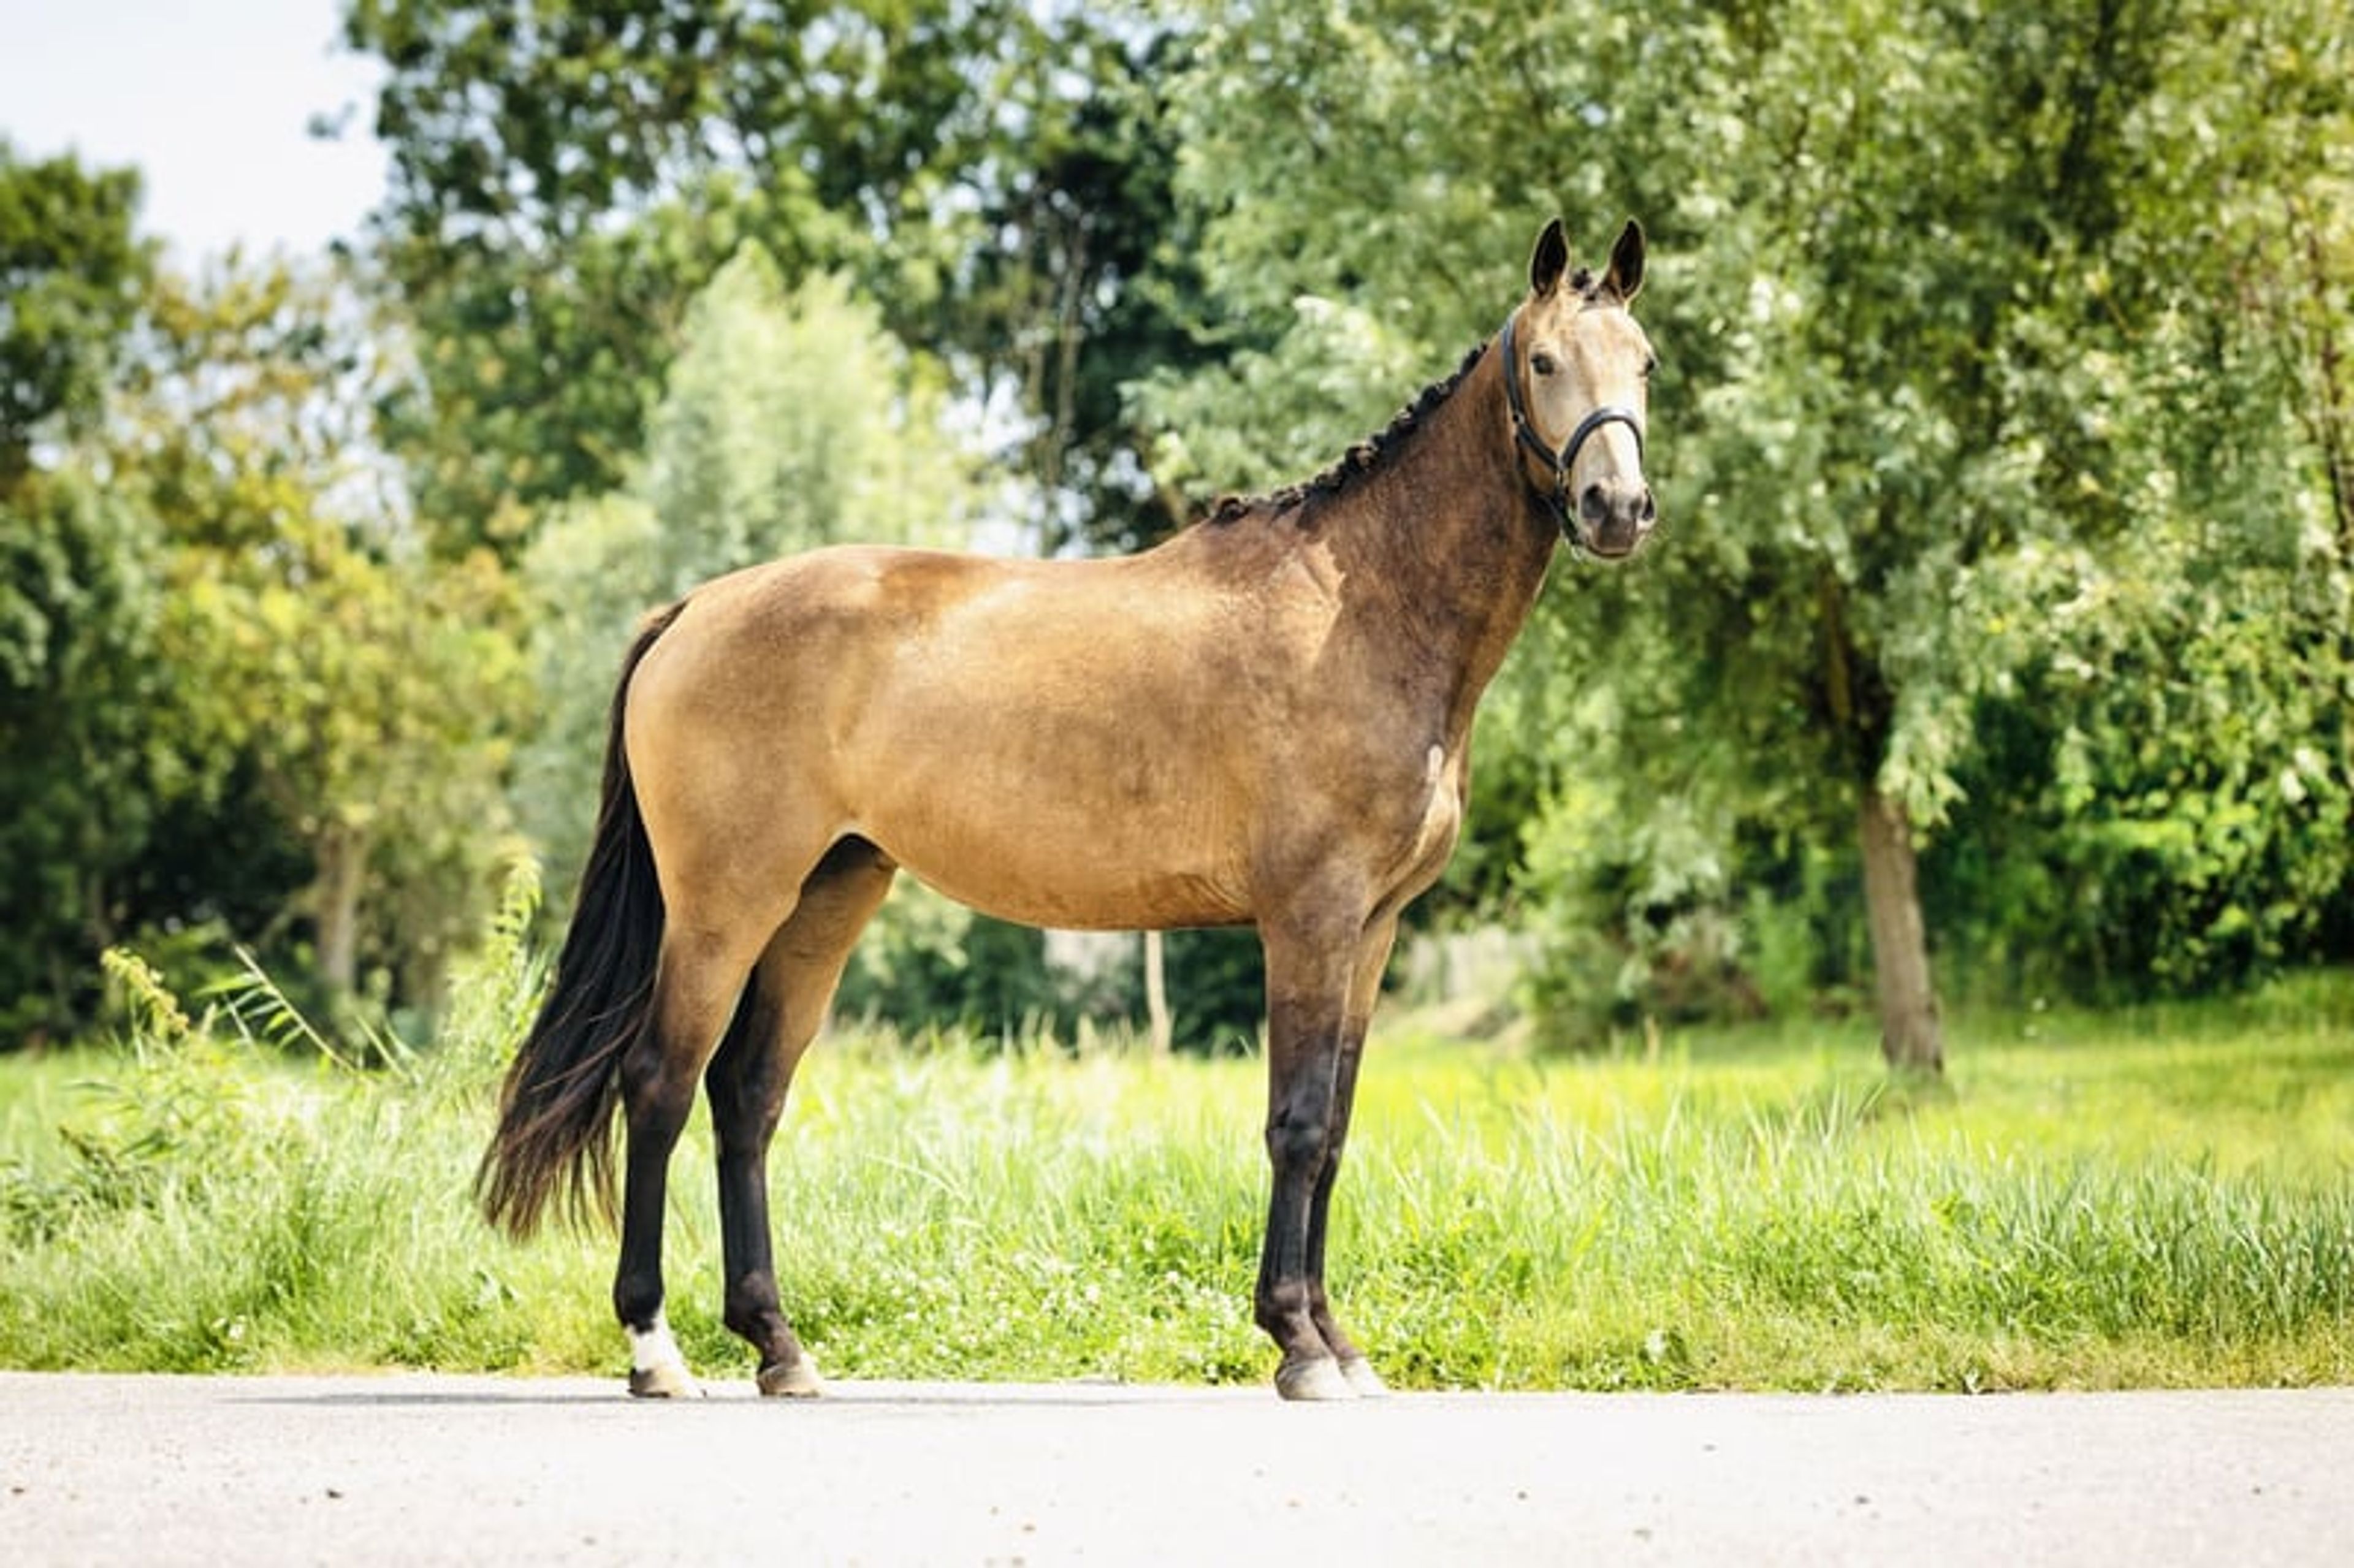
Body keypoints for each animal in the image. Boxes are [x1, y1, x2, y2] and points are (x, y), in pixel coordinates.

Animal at [479, 217, 1659, 1401]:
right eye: (1544, 362)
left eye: (1645, 363)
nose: (1617, 509)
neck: (1361, 607)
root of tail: (693, 610)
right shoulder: (1310, 921)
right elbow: (1295, 1123)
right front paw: (1297, 1343)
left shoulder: (1371, 932)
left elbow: (1333, 1132)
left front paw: (1341, 1344)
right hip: (726, 907)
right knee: (661, 1085)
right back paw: (656, 1348)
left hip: (824, 900)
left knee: (747, 1096)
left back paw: (778, 1344)